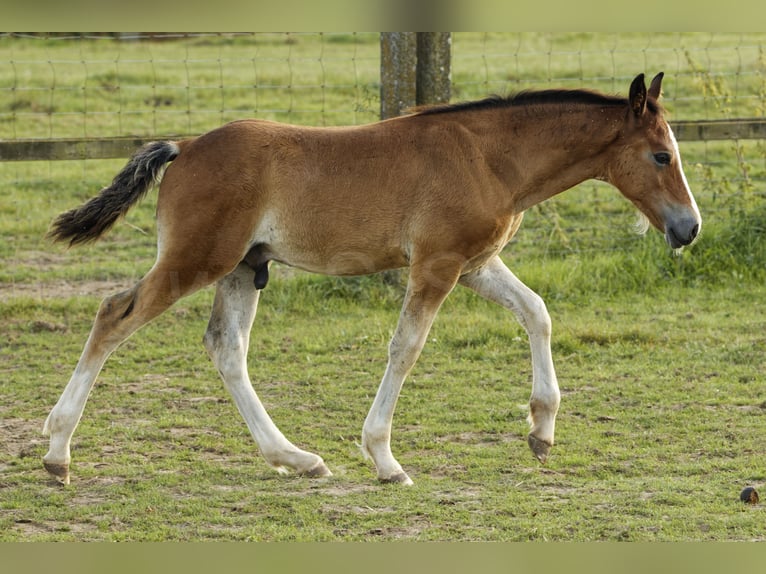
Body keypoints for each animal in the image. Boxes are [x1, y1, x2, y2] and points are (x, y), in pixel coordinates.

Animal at [42, 72, 700, 486]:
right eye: (661, 155)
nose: (689, 228)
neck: (488, 158)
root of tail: (184, 146)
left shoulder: (474, 264)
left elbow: (537, 311)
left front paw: (541, 431)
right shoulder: (436, 264)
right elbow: (406, 349)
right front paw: (385, 460)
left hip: (244, 268)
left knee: (226, 349)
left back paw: (296, 458)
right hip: (195, 260)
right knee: (113, 315)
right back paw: (57, 452)